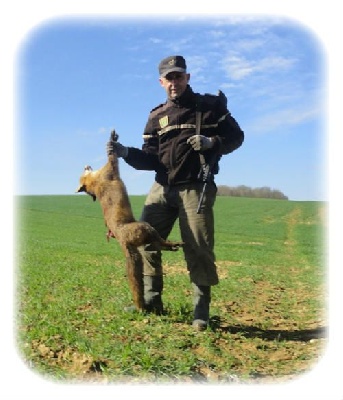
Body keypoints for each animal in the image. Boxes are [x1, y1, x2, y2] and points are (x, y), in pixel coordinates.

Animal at [76, 131, 184, 310]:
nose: (86, 165)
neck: (95, 182)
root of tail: (122, 241)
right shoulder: (111, 167)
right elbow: (112, 156)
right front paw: (113, 140)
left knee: (157, 245)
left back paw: (172, 246)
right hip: (147, 228)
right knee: (160, 242)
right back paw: (174, 244)